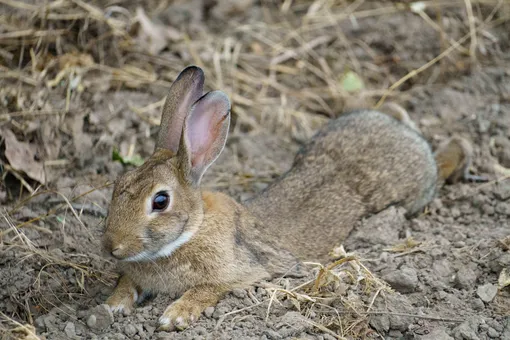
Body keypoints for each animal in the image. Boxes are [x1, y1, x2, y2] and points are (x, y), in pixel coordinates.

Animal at [102, 65, 482, 330]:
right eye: (118, 184)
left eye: (160, 201)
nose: (111, 247)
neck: (190, 231)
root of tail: (406, 137)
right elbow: (126, 283)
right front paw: (112, 306)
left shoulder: (237, 274)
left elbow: (204, 291)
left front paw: (174, 316)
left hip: (412, 192)